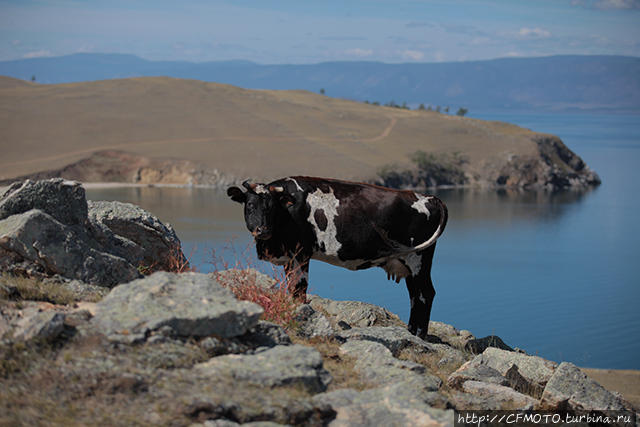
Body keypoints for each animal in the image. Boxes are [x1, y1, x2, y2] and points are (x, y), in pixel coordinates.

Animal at [228, 176, 448, 340]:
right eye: (250, 205)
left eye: (272, 207)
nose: (262, 229)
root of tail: (429, 197)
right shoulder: (289, 258)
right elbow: (291, 287)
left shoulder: (301, 254)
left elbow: (299, 288)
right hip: (409, 264)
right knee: (415, 295)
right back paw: (411, 332)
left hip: (419, 258)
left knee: (425, 294)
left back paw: (419, 335)